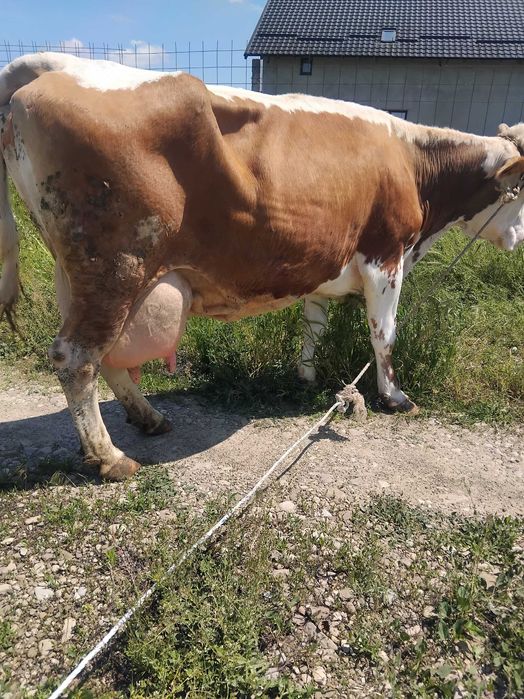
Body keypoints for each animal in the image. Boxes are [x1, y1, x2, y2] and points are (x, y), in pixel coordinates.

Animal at [0, 53, 523, 480]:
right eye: (520, 192)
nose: (517, 239)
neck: (413, 162)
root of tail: (54, 65)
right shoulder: (385, 256)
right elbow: (384, 334)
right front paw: (394, 397)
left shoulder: (323, 264)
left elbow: (314, 328)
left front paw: (306, 379)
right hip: (116, 266)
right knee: (76, 357)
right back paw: (110, 458)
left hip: (81, 273)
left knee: (106, 358)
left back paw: (148, 418)